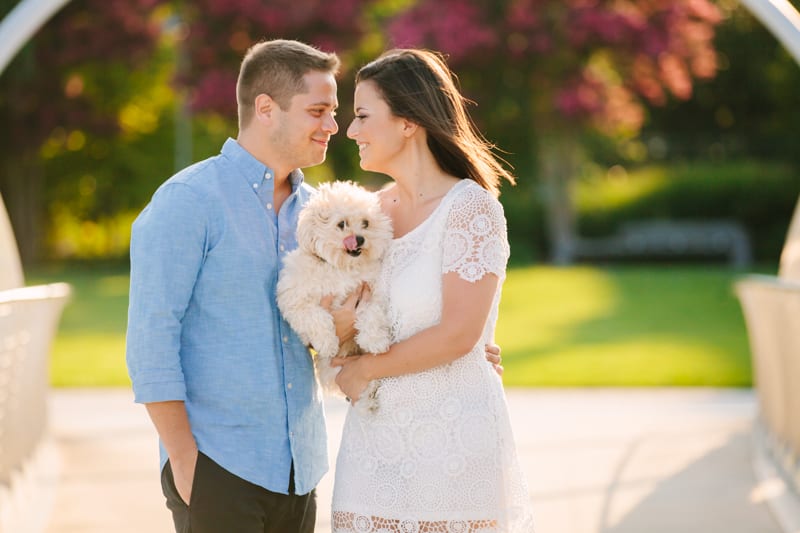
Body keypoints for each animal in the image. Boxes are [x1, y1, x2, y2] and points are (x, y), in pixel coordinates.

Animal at [278, 181, 394, 410]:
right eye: (342, 224)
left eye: (366, 223)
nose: (359, 239)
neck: (340, 267)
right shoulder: (294, 301)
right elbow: (318, 317)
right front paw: (327, 342)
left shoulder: (371, 293)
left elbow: (371, 315)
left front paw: (375, 340)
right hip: (332, 368)